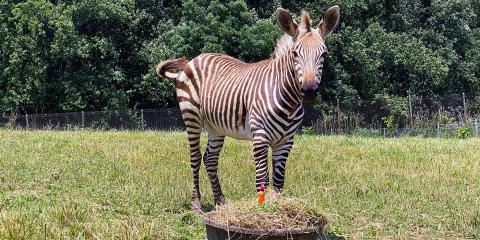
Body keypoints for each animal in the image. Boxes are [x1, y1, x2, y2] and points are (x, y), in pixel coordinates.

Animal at [156, 6, 340, 210]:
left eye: (324, 54)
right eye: (294, 54)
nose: (309, 91)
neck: (288, 101)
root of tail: (193, 59)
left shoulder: (286, 141)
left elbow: (278, 180)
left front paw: (277, 206)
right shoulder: (260, 138)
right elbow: (262, 179)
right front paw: (262, 208)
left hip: (215, 125)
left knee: (210, 159)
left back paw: (220, 202)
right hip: (191, 115)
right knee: (195, 157)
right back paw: (196, 204)